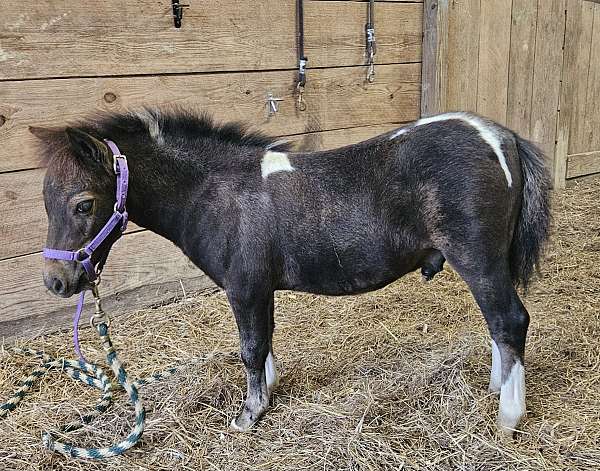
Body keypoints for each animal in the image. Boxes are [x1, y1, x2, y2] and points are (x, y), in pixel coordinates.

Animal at [31, 109, 548, 436]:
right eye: (46, 200)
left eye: (84, 204)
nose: (57, 283)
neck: (215, 192)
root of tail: (500, 138)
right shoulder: (260, 290)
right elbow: (264, 342)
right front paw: (268, 393)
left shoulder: (243, 289)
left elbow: (250, 347)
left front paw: (248, 415)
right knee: (497, 325)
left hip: (478, 260)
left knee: (509, 320)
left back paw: (508, 417)